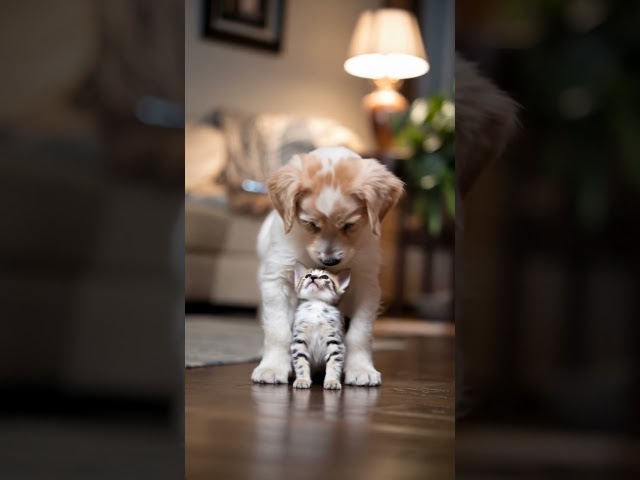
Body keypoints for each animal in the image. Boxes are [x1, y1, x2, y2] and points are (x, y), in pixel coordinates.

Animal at [290, 262, 350, 390]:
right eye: (307, 275)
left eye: (324, 277)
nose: (312, 277)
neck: (316, 304)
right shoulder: (299, 340)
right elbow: (301, 360)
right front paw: (302, 380)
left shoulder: (334, 340)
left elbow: (334, 362)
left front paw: (332, 381)